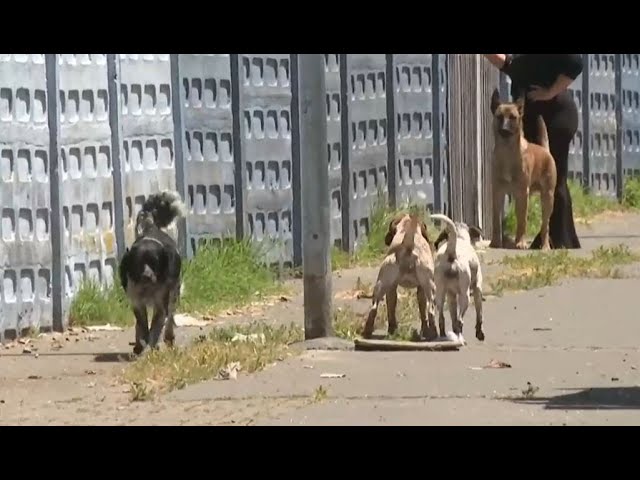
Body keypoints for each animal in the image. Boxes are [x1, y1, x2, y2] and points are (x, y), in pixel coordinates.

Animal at [119, 189, 188, 354]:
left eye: (155, 262)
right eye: (137, 263)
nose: (147, 276)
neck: (147, 288)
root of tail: (152, 227)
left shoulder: (161, 304)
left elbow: (156, 327)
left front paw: (152, 345)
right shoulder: (137, 302)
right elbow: (142, 324)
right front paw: (143, 342)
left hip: (174, 294)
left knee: (170, 318)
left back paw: (167, 338)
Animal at [362, 212, 438, 340]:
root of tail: (408, 245)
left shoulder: (392, 288)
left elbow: (391, 309)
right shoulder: (421, 289)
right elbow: (423, 311)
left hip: (382, 284)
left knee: (374, 308)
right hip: (427, 288)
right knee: (430, 310)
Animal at [430, 212, 484, 344]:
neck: (460, 238)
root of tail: (451, 252)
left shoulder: (451, 296)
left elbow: (453, 318)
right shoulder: (477, 289)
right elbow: (479, 314)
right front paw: (480, 333)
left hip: (440, 294)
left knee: (442, 318)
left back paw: (445, 336)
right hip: (465, 296)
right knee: (460, 320)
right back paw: (460, 339)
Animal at [490, 88, 556, 249]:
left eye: (513, 117)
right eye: (499, 117)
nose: (504, 129)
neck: (507, 152)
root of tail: (545, 151)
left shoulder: (522, 193)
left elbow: (522, 221)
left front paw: (521, 242)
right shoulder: (497, 192)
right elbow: (496, 220)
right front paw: (495, 242)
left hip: (547, 199)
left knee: (545, 225)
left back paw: (545, 246)